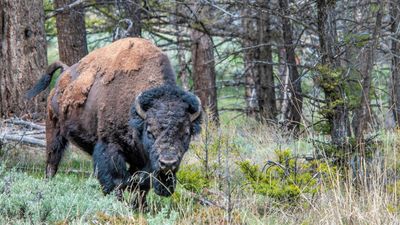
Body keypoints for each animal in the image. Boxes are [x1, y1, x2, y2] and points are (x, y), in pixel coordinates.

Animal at [26, 37, 203, 207]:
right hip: (54, 131)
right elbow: (116, 181)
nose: (168, 163)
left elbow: (141, 184)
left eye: (186, 133)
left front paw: (140, 207)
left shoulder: (142, 160)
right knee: (52, 163)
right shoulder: (110, 147)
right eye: (150, 132)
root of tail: (63, 76)